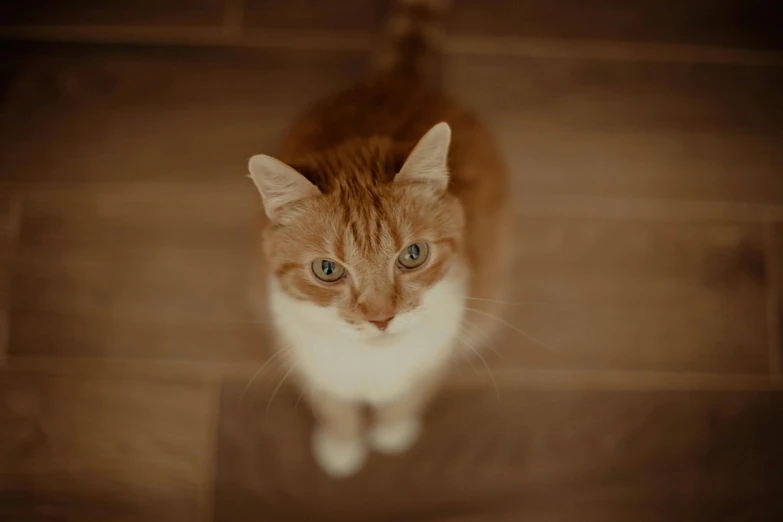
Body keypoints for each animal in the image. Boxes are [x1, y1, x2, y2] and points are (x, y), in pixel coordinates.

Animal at [248, 0, 512, 476]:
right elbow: (332, 404)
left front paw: (392, 431)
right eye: (327, 269)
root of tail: (397, 80)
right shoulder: (303, 355)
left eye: (413, 254)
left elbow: (411, 395)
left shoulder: (441, 349)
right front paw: (341, 445)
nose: (381, 318)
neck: (374, 363)